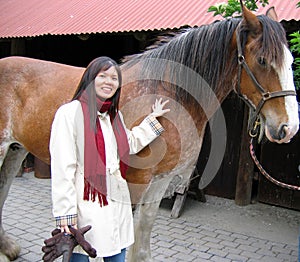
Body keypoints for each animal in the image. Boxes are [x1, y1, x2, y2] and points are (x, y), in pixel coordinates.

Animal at [0, 4, 300, 262]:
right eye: (262, 60)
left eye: (290, 60)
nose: (289, 127)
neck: (169, 92)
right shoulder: (136, 182)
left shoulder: (160, 181)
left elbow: (142, 238)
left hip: (17, 149)